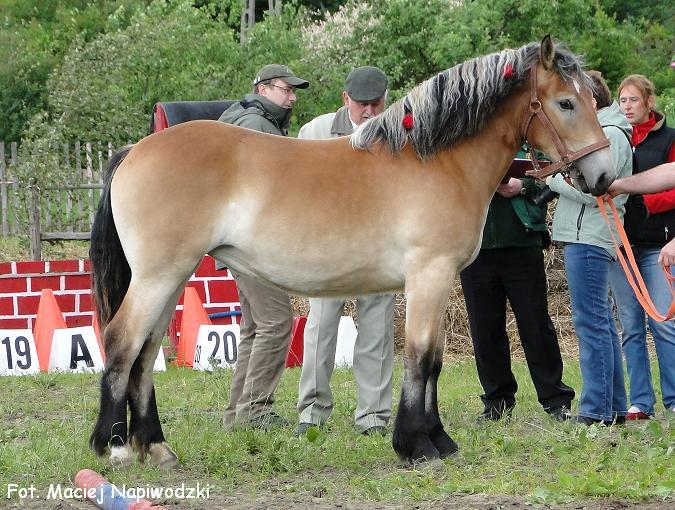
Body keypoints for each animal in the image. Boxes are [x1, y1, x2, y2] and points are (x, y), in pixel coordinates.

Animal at [90, 35, 616, 466]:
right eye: (566, 102)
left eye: (592, 99)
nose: (605, 176)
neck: (436, 160)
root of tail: (135, 150)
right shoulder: (430, 274)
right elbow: (421, 359)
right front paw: (418, 445)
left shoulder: (438, 281)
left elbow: (433, 360)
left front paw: (438, 440)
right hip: (159, 276)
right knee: (120, 343)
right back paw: (114, 447)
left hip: (172, 279)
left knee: (143, 354)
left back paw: (155, 446)